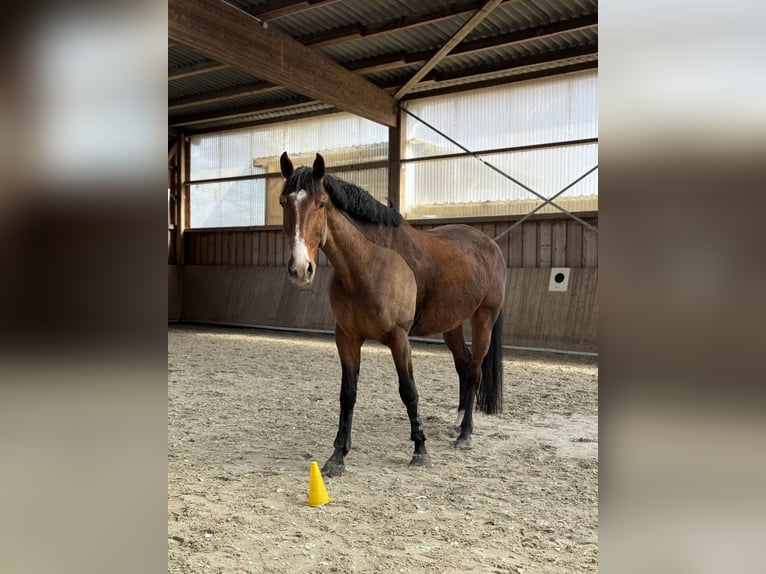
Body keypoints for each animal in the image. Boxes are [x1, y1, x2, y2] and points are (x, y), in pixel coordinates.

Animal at [280, 152, 508, 476]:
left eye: (321, 203)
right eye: (283, 202)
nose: (300, 269)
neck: (368, 260)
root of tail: (491, 245)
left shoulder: (400, 340)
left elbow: (409, 391)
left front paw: (420, 450)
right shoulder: (347, 338)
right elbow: (348, 395)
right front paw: (337, 456)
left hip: (483, 320)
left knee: (474, 370)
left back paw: (465, 434)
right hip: (452, 325)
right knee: (463, 367)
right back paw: (458, 423)